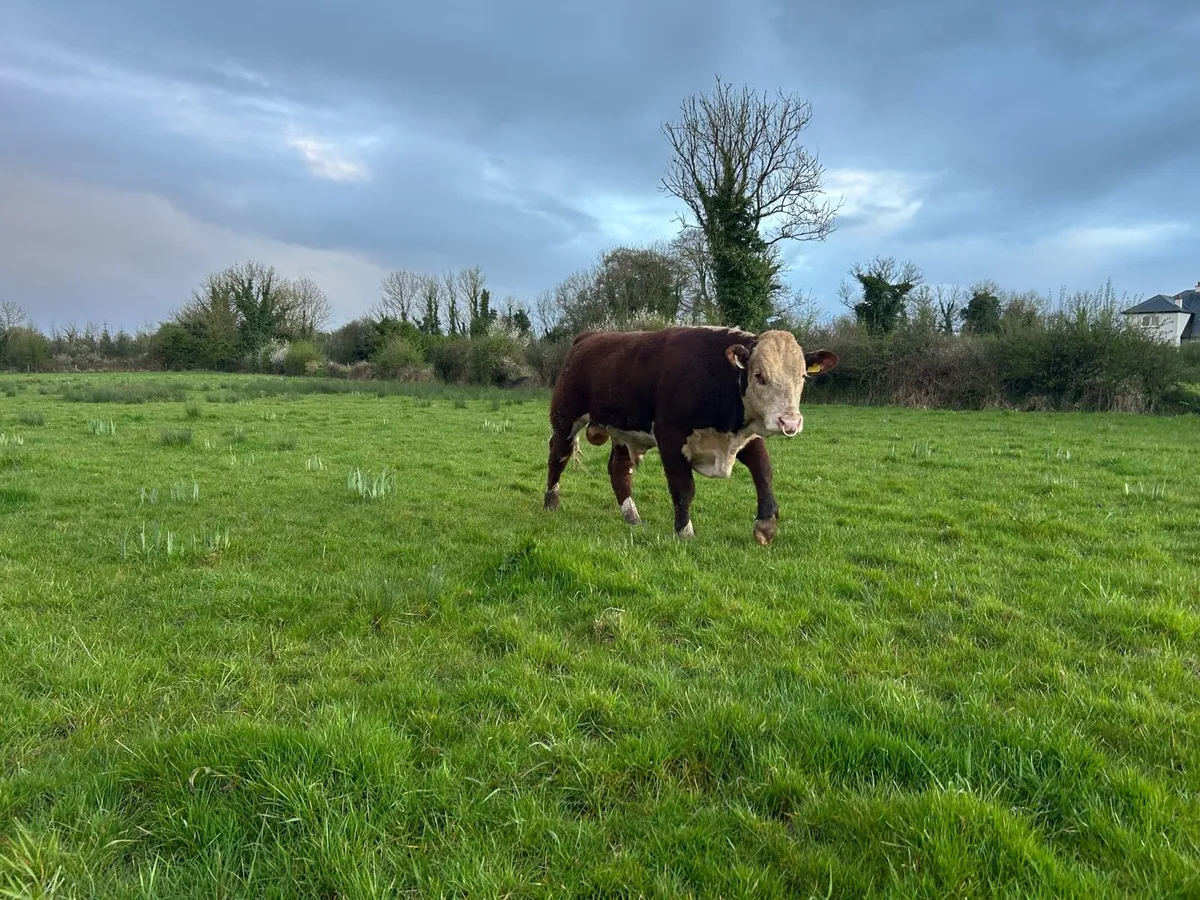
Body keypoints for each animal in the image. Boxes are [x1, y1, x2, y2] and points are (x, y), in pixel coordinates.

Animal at [542, 325, 838, 544]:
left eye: (802, 376)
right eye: (758, 375)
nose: (790, 422)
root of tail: (590, 336)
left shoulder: (744, 436)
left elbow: (763, 472)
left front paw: (765, 525)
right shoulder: (670, 437)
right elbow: (683, 487)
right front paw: (684, 531)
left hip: (625, 434)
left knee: (619, 470)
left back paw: (632, 517)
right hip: (565, 419)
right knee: (558, 457)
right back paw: (551, 502)